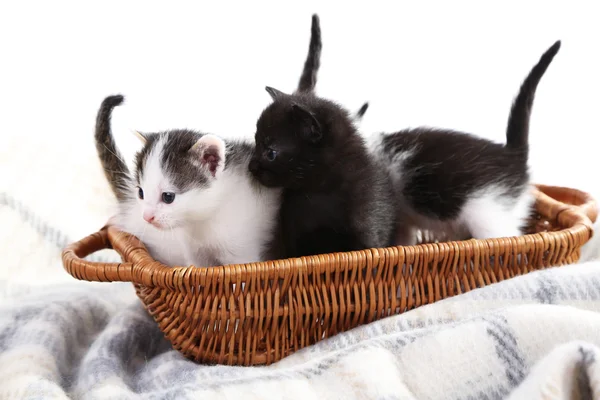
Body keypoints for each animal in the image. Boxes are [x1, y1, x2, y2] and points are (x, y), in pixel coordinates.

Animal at [94, 95, 282, 268]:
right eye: (141, 193)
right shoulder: (195, 254)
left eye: (168, 197)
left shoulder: (243, 253)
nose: (147, 217)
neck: (204, 220)